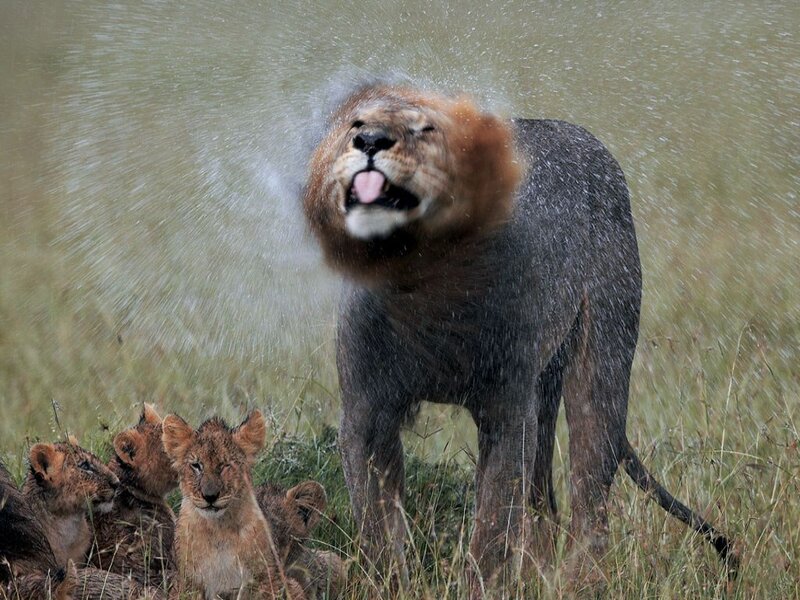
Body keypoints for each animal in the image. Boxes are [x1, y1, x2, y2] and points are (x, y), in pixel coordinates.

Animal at [302, 83, 737, 593]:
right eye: (357, 123)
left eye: (425, 129)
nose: (370, 141)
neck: (427, 294)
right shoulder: (366, 413)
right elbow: (377, 527)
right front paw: (390, 585)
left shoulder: (508, 412)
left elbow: (492, 526)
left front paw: (482, 587)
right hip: (544, 393)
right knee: (544, 503)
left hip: (599, 370)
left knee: (590, 499)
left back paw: (576, 583)